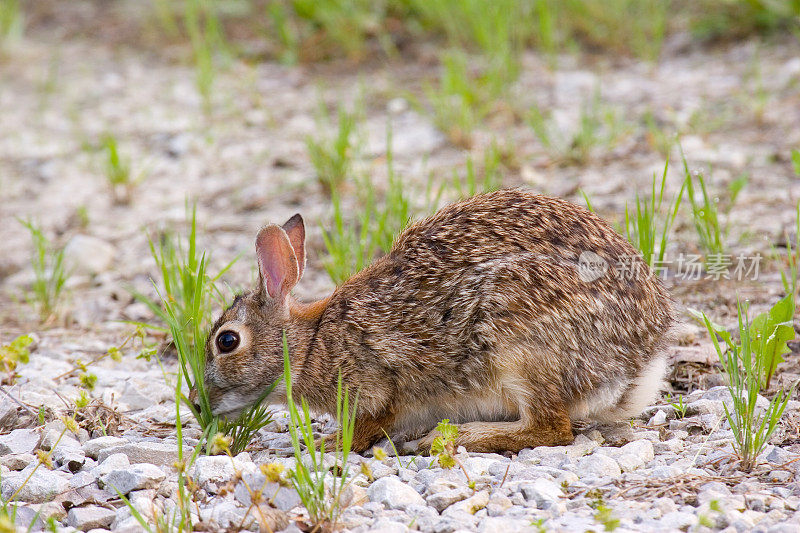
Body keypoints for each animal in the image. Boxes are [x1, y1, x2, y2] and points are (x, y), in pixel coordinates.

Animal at [205, 189, 676, 450]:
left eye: (227, 341)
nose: (197, 402)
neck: (310, 344)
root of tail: (637, 363)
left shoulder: (377, 386)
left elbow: (368, 426)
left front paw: (324, 444)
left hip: (520, 347)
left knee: (551, 428)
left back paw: (455, 438)